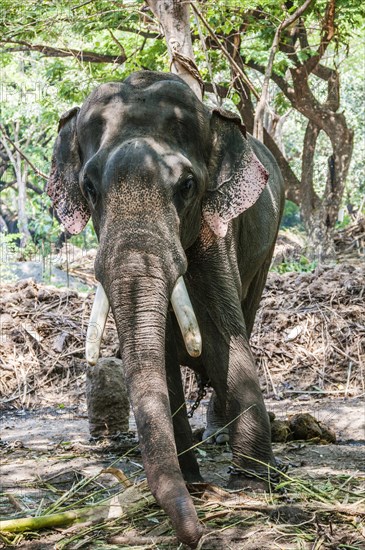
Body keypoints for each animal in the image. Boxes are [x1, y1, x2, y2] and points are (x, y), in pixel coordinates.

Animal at [46, 71, 284, 548]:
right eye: (89, 188)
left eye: (187, 186)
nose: (200, 536)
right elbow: (164, 361)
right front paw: (194, 484)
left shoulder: (216, 235)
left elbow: (223, 341)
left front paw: (252, 486)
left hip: (267, 244)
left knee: (247, 315)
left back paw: (219, 437)